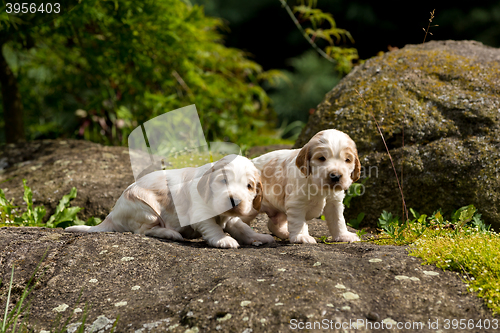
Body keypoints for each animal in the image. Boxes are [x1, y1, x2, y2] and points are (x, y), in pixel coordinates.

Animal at [66, 154, 274, 248]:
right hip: (146, 211)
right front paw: (224, 240)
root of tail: (111, 215)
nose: (234, 201)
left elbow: (242, 228)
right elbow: (213, 227)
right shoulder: (200, 213)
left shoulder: (232, 217)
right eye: (223, 181)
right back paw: (171, 233)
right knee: (144, 231)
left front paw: (260, 237)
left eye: (249, 186)